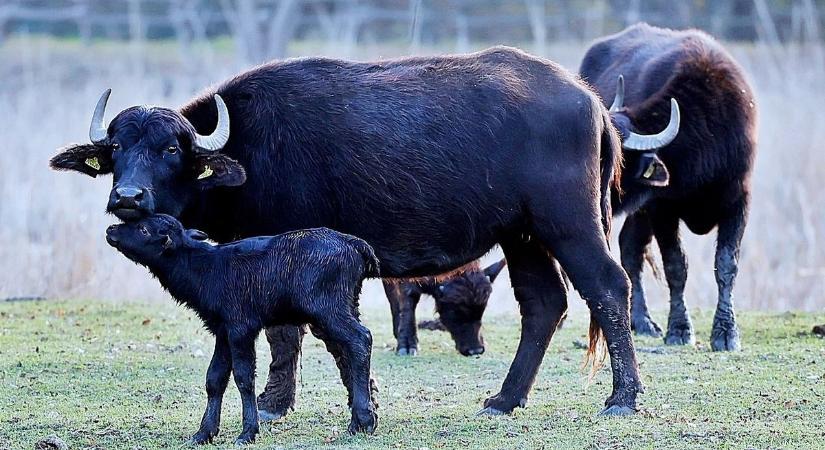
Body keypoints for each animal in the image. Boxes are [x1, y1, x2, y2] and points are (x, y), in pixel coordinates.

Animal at [50, 46, 676, 418]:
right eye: (116, 148)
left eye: (171, 149)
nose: (127, 199)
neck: (249, 146)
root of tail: (591, 102)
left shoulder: (286, 249)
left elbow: (285, 332)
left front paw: (275, 403)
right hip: (521, 235)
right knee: (544, 303)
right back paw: (504, 398)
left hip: (568, 223)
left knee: (607, 288)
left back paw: (623, 398)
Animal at [104, 215, 384, 446]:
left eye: (143, 229)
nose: (111, 229)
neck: (206, 272)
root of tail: (358, 247)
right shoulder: (221, 330)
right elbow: (214, 379)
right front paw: (203, 433)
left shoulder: (241, 327)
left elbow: (243, 377)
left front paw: (247, 432)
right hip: (348, 303)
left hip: (328, 307)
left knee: (361, 338)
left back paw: (363, 421)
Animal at [576, 24, 756, 352]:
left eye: (612, 159)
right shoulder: (662, 208)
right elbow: (676, 266)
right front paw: (680, 329)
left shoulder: (739, 200)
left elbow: (727, 264)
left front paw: (726, 333)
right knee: (631, 250)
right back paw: (643, 321)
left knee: (630, 245)